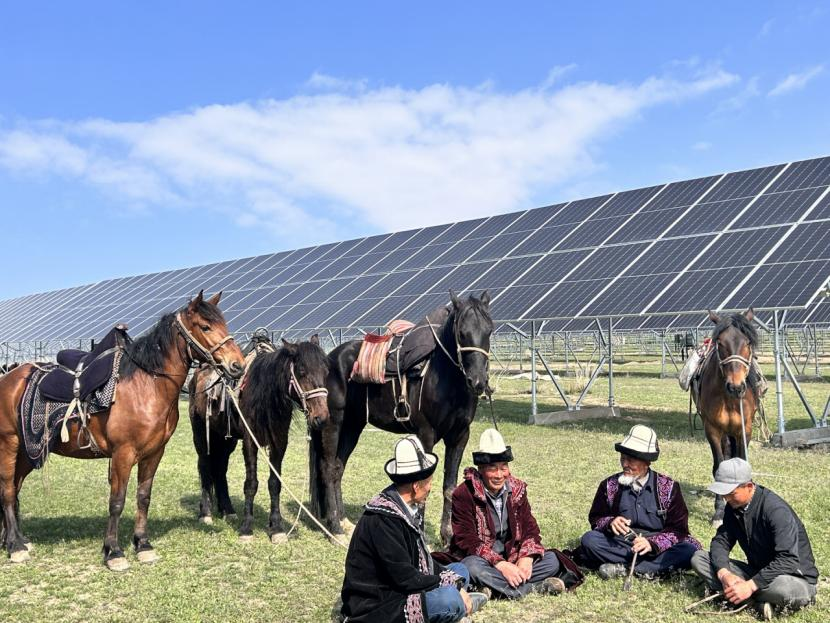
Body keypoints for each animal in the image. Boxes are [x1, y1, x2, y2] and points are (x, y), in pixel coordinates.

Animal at [0, 292, 247, 572]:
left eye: (224, 324)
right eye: (205, 327)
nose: (237, 365)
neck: (145, 387)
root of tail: (9, 378)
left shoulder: (154, 454)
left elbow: (143, 497)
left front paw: (143, 545)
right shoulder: (123, 454)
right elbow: (117, 501)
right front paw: (114, 552)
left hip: (26, 451)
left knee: (15, 489)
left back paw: (16, 540)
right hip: (9, 444)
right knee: (7, 491)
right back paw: (15, 546)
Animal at [189, 334, 332, 544]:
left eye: (326, 371)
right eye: (302, 371)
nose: (321, 418)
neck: (265, 393)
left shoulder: (279, 442)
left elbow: (275, 483)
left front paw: (277, 527)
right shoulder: (250, 441)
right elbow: (251, 484)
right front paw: (247, 528)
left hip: (227, 439)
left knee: (220, 469)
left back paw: (228, 510)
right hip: (200, 434)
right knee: (206, 466)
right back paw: (205, 513)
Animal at [310, 290, 494, 544]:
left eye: (489, 330)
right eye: (461, 333)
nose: (477, 381)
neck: (445, 377)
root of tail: (330, 359)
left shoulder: (459, 436)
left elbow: (449, 485)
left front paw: (448, 536)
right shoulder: (426, 435)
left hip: (352, 426)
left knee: (338, 467)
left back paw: (344, 522)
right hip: (333, 424)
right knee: (327, 469)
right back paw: (336, 529)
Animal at [704, 308, 760, 528]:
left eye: (748, 342)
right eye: (720, 343)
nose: (736, 387)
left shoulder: (745, 430)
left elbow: (741, 459)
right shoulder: (712, 430)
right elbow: (720, 464)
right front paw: (719, 511)